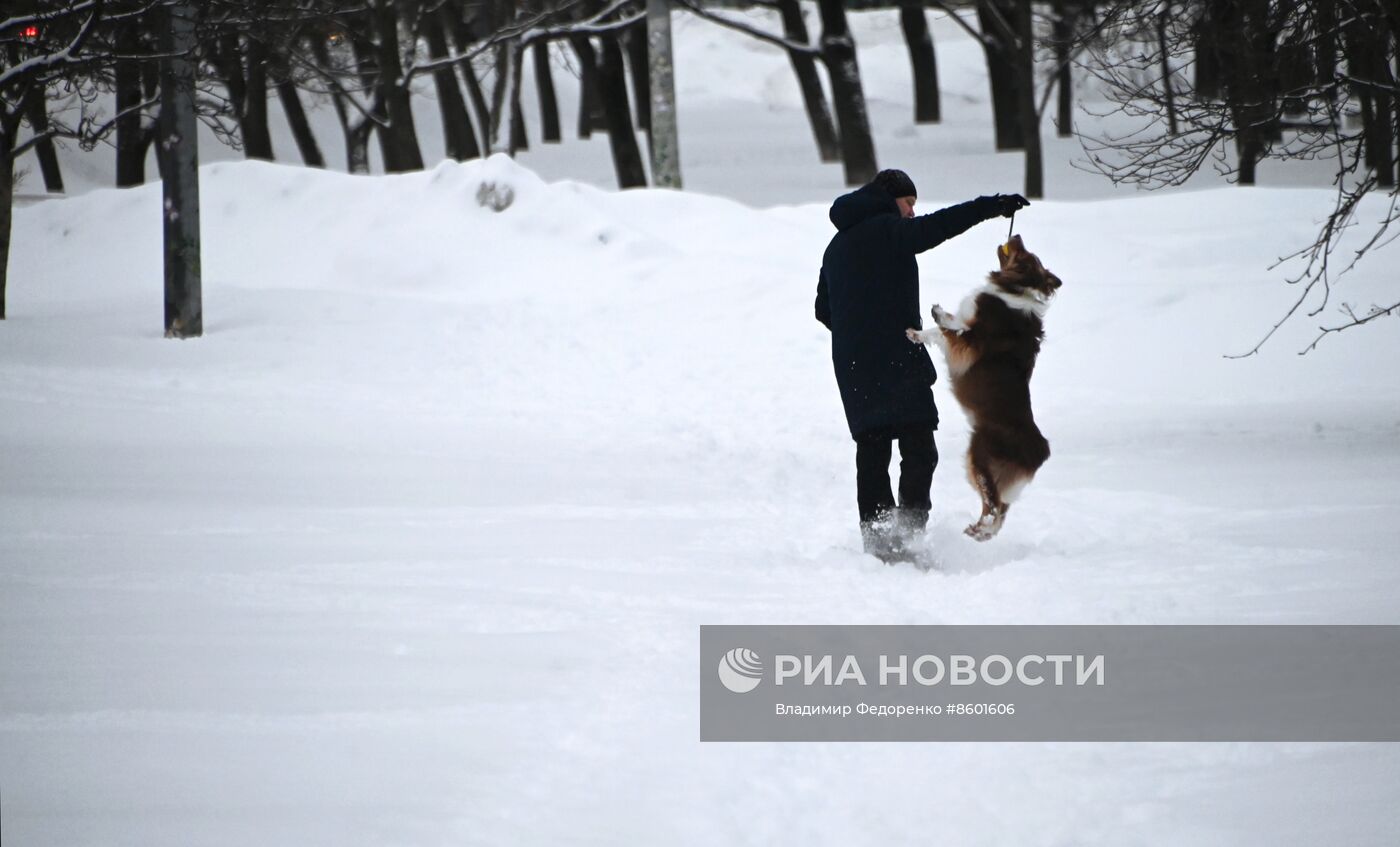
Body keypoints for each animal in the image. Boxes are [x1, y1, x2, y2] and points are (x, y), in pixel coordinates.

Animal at [907, 236, 1058, 540]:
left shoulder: (969, 344)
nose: (1016, 235)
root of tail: (1040, 449)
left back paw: (978, 529)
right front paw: (934, 317)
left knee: (993, 508)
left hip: (979, 456)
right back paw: (978, 532)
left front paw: (923, 328)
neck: (1016, 289)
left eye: (1025, 255)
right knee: (999, 512)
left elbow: (945, 331)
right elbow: (948, 326)